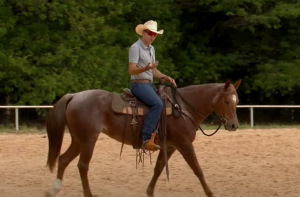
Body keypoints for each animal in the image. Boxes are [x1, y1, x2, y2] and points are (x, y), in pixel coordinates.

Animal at [44, 79, 241, 197]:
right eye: (226, 101)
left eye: (236, 101)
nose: (234, 125)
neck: (183, 108)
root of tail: (74, 96)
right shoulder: (184, 145)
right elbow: (198, 170)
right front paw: (210, 193)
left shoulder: (170, 146)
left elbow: (159, 168)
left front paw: (150, 191)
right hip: (88, 140)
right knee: (82, 166)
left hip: (78, 140)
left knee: (63, 159)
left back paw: (53, 190)